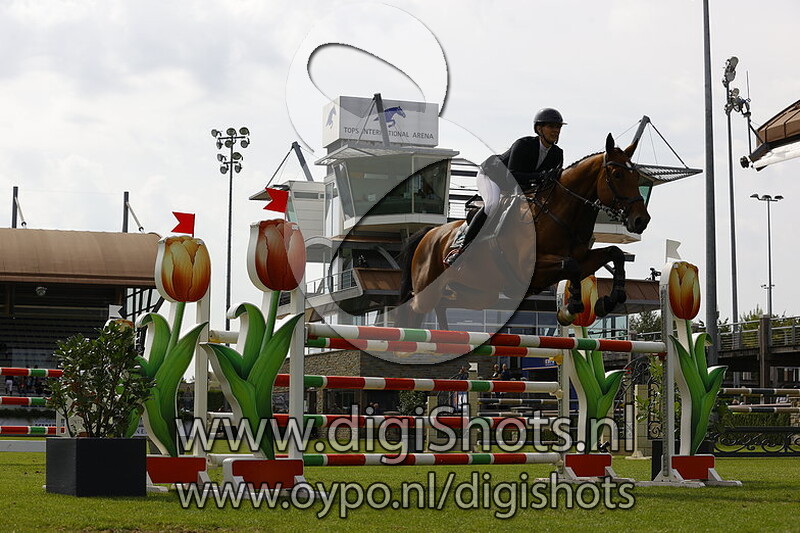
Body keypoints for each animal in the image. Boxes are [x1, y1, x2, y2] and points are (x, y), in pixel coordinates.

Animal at [397, 133, 650, 329]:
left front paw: (609, 301)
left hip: (480, 293)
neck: (559, 214)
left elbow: (614, 253)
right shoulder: (530, 268)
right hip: (428, 289)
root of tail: (429, 234)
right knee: (414, 307)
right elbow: (571, 266)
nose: (641, 220)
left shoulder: (583, 259)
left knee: (444, 303)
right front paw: (572, 308)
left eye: (638, 176)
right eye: (617, 175)